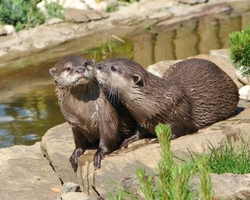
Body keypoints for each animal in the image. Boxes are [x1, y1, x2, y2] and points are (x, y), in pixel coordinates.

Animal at [94, 57, 239, 145]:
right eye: (107, 60)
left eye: (113, 68)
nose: (98, 65)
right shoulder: (142, 121)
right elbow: (139, 132)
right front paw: (130, 139)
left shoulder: (177, 113)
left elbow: (180, 130)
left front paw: (159, 140)